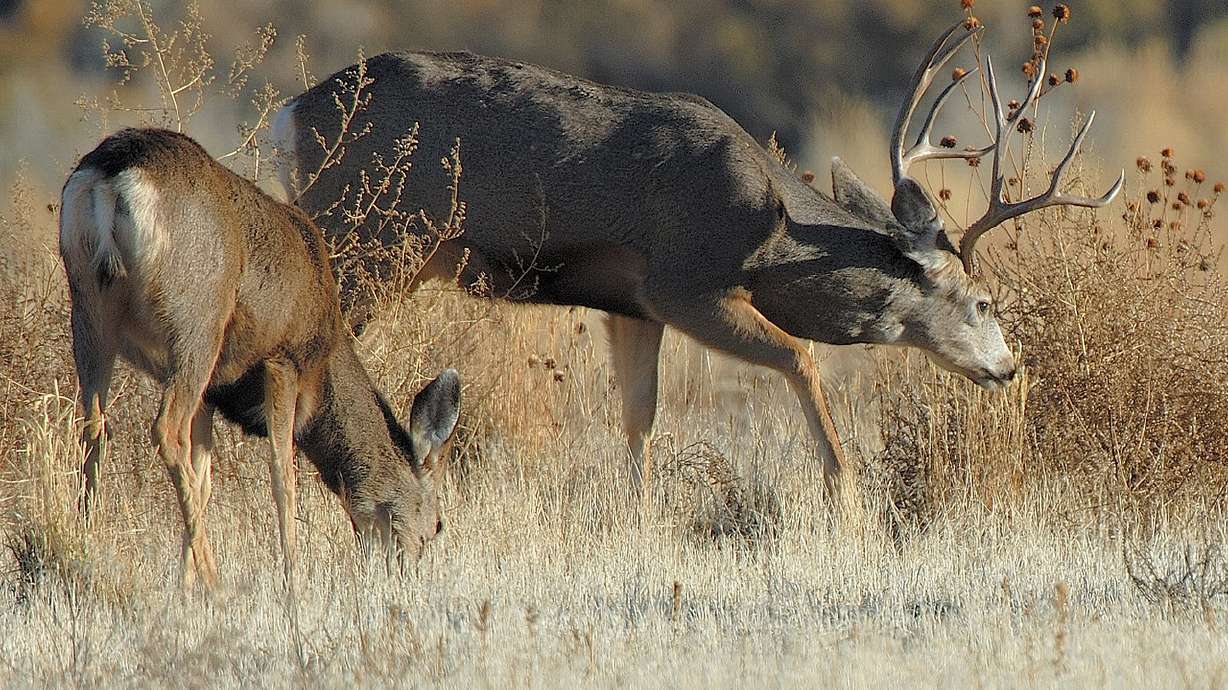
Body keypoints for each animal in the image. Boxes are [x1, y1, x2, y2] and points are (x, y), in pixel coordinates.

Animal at [59, 127, 462, 591]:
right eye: (437, 525)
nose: (407, 569)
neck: (326, 361)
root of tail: (111, 176)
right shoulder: (282, 358)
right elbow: (282, 475)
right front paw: (293, 582)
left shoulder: (214, 391)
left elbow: (203, 478)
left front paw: (185, 585)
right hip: (196, 322)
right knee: (165, 429)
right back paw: (217, 586)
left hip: (89, 310)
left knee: (95, 426)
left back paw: (87, 550)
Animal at [272, 21, 1121, 496]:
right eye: (984, 302)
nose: (1008, 367)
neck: (768, 235)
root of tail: (289, 114)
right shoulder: (687, 286)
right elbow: (803, 358)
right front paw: (847, 498)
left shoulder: (631, 307)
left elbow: (638, 420)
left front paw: (635, 520)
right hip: (371, 241)